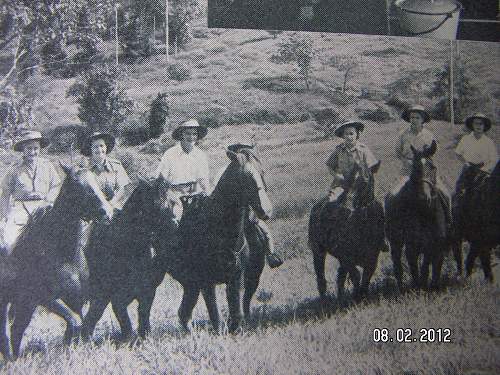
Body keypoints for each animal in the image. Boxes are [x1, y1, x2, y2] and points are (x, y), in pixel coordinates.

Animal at [0, 166, 113, 360]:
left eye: (97, 182)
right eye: (77, 184)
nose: (106, 212)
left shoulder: (75, 298)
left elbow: (79, 323)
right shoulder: (46, 299)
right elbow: (75, 321)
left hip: (25, 304)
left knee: (16, 330)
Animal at [78, 178, 180, 342]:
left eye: (173, 202)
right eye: (155, 204)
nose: (175, 226)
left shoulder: (148, 291)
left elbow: (143, 314)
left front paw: (145, 337)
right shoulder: (116, 297)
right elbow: (125, 322)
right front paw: (127, 341)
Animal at [159, 148, 272, 334]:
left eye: (262, 172)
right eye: (246, 176)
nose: (266, 211)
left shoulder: (236, 278)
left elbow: (236, 312)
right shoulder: (206, 283)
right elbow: (216, 317)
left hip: (250, 277)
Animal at [306, 160, 384, 302]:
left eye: (365, 181)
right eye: (347, 180)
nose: (348, 207)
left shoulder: (372, 257)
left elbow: (366, 277)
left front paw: (363, 296)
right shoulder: (346, 256)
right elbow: (356, 275)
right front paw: (357, 296)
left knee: (340, 276)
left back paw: (341, 298)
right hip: (318, 251)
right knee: (321, 278)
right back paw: (325, 301)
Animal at [384, 141, 452, 290]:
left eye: (433, 168)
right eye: (415, 167)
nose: (423, 198)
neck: (425, 212)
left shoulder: (434, 244)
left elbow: (430, 266)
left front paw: (429, 287)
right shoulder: (412, 246)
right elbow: (415, 268)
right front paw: (417, 288)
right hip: (396, 242)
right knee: (398, 264)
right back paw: (401, 288)